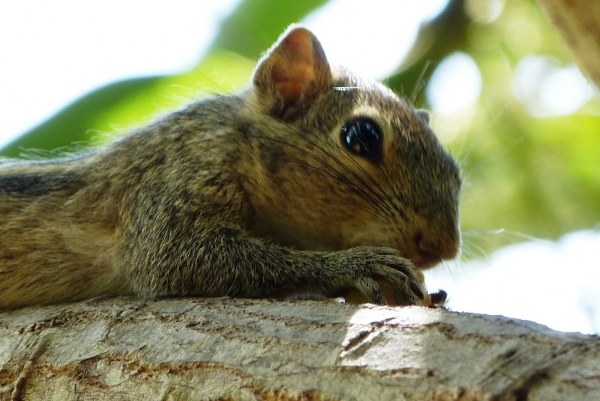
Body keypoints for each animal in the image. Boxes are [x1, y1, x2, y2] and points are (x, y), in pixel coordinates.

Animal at [0, 24, 460, 310]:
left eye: (456, 171)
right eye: (361, 136)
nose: (442, 247)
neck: (235, 142)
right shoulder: (174, 177)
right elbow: (173, 255)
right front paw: (355, 266)